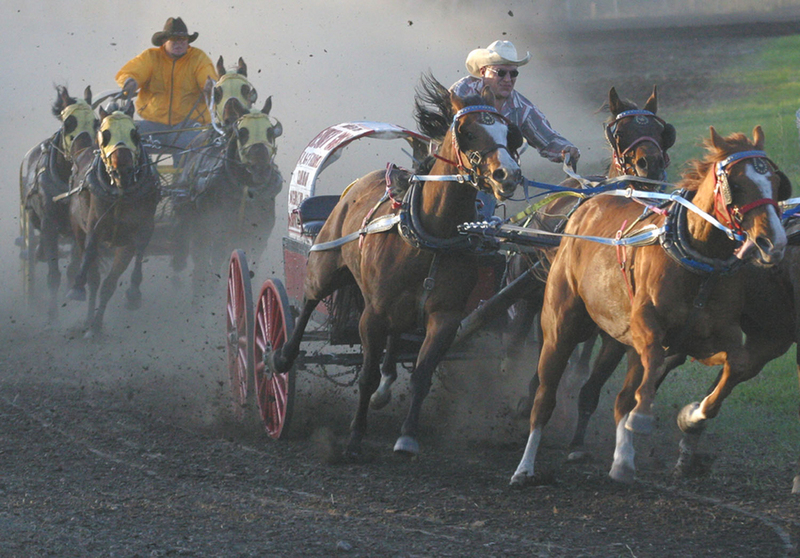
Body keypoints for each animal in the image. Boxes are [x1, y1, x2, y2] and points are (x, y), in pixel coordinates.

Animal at [20, 83, 97, 320]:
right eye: (68, 122)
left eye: (95, 122)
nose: (84, 150)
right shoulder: (49, 222)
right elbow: (53, 275)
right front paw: (52, 317)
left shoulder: (79, 223)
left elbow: (74, 269)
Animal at [66, 100, 160, 336]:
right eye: (105, 134)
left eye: (134, 133)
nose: (122, 172)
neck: (120, 193)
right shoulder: (94, 225)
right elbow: (91, 252)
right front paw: (77, 288)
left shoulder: (137, 231)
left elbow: (138, 251)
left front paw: (133, 294)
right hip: (76, 226)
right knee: (92, 276)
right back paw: (87, 319)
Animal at [172, 56, 282, 294]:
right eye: (243, 132)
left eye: (270, 131)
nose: (261, 168)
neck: (244, 188)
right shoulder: (218, 232)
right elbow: (215, 266)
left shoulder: (258, 237)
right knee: (201, 262)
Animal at [266, 74, 520, 460]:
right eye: (468, 131)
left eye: (509, 132)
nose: (509, 174)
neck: (430, 235)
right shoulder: (372, 314)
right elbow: (367, 375)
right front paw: (355, 437)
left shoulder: (445, 317)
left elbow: (421, 373)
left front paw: (407, 437)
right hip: (324, 266)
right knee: (308, 301)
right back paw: (282, 357)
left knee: (395, 341)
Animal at [510, 126, 792, 486]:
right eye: (737, 184)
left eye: (774, 181)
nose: (774, 243)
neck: (698, 263)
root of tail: (586, 205)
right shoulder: (646, 324)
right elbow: (655, 357)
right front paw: (644, 416)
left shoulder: (709, 338)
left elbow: (735, 365)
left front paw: (693, 415)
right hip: (560, 327)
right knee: (544, 396)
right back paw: (525, 465)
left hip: (616, 340)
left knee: (618, 397)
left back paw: (621, 459)